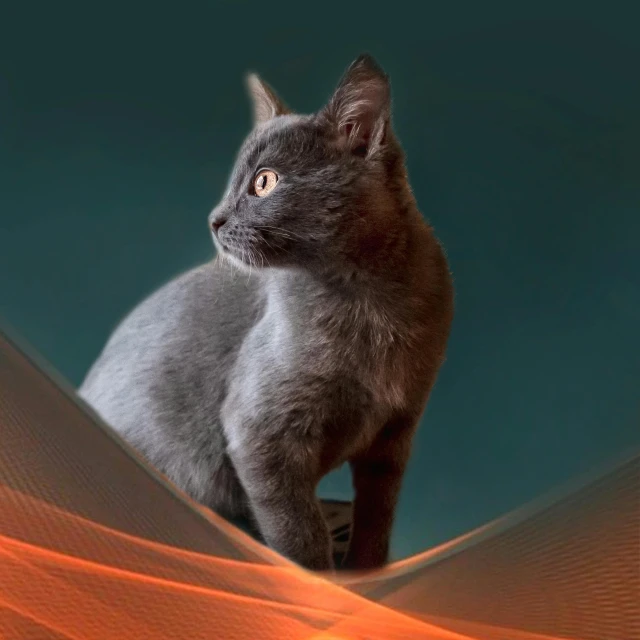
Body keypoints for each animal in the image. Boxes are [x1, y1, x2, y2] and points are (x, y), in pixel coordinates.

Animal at [79, 55, 456, 572]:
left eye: (264, 181)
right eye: (236, 179)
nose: (214, 219)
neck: (371, 302)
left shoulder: (395, 435)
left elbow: (376, 518)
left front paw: (366, 573)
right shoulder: (260, 433)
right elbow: (299, 534)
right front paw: (319, 583)